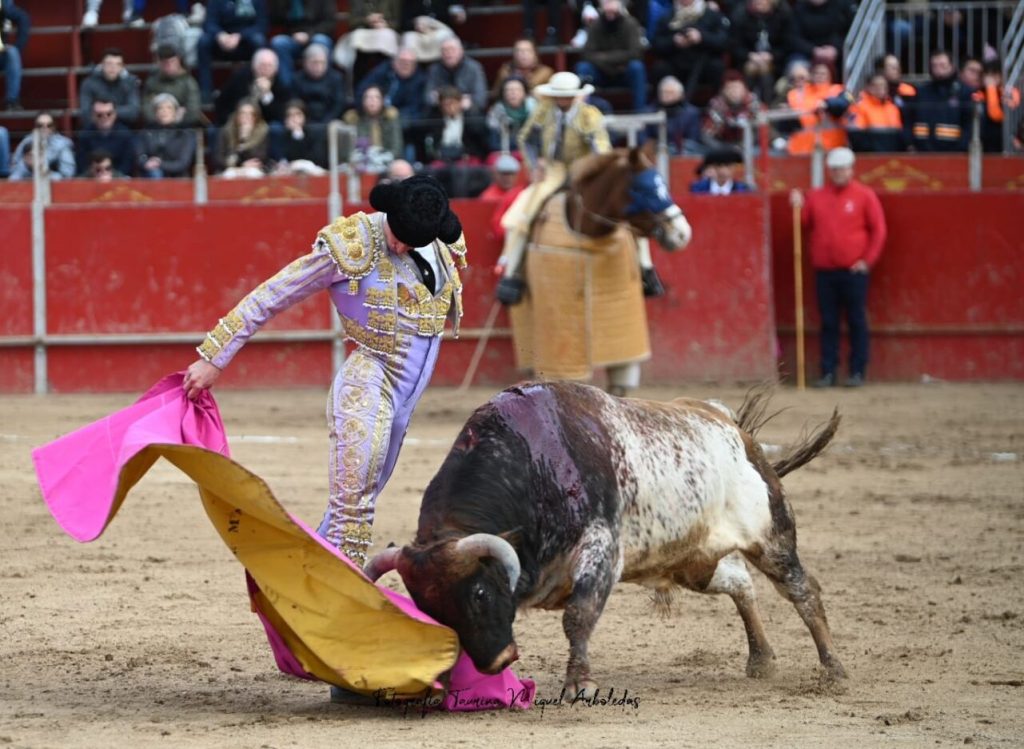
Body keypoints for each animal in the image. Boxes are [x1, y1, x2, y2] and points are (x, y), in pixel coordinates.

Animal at [364, 383, 843, 692]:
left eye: (480, 592)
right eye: (428, 606)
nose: (496, 661)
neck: (532, 463)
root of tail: (729, 423)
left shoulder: (602, 547)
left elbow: (578, 616)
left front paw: (580, 684)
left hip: (772, 536)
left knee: (803, 590)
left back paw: (833, 670)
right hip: (692, 563)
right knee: (741, 584)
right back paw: (761, 659)